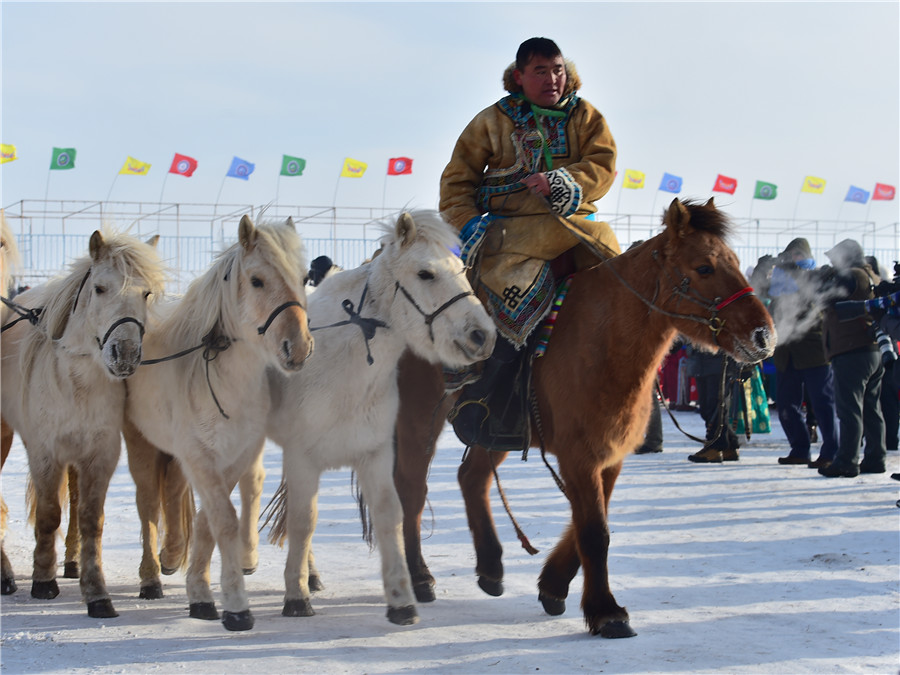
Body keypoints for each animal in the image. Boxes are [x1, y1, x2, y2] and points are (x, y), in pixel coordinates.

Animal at [0, 228, 165, 616]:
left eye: (146, 293)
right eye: (100, 288)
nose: (125, 355)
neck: (76, 381)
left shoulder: (99, 453)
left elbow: (91, 518)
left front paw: (97, 593)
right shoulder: (45, 452)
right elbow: (48, 515)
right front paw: (43, 581)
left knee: (74, 502)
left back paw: (71, 563)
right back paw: (7, 576)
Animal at [124, 217, 312, 632]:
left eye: (305, 277)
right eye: (257, 280)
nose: (299, 347)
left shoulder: (238, 453)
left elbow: (211, 519)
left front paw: (202, 590)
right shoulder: (198, 456)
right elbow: (222, 520)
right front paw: (234, 604)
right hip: (143, 445)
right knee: (149, 503)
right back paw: (154, 572)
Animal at [264, 213, 496, 628]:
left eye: (463, 270)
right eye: (425, 273)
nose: (482, 336)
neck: (339, 365)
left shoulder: (374, 454)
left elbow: (391, 514)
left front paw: (402, 600)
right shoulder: (302, 457)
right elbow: (304, 519)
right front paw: (296, 597)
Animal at [392, 197, 772, 640]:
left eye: (736, 262)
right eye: (705, 267)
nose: (764, 336)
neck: (602, 339)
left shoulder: (609, 456)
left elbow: (589, 522)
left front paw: (554, 585)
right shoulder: (579, 455)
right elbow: (594, 532)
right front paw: (606, 611)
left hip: (496, 430)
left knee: (471, 479)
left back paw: (490, 566)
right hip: (418, 416)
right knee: (412, 492)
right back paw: (419, 577)